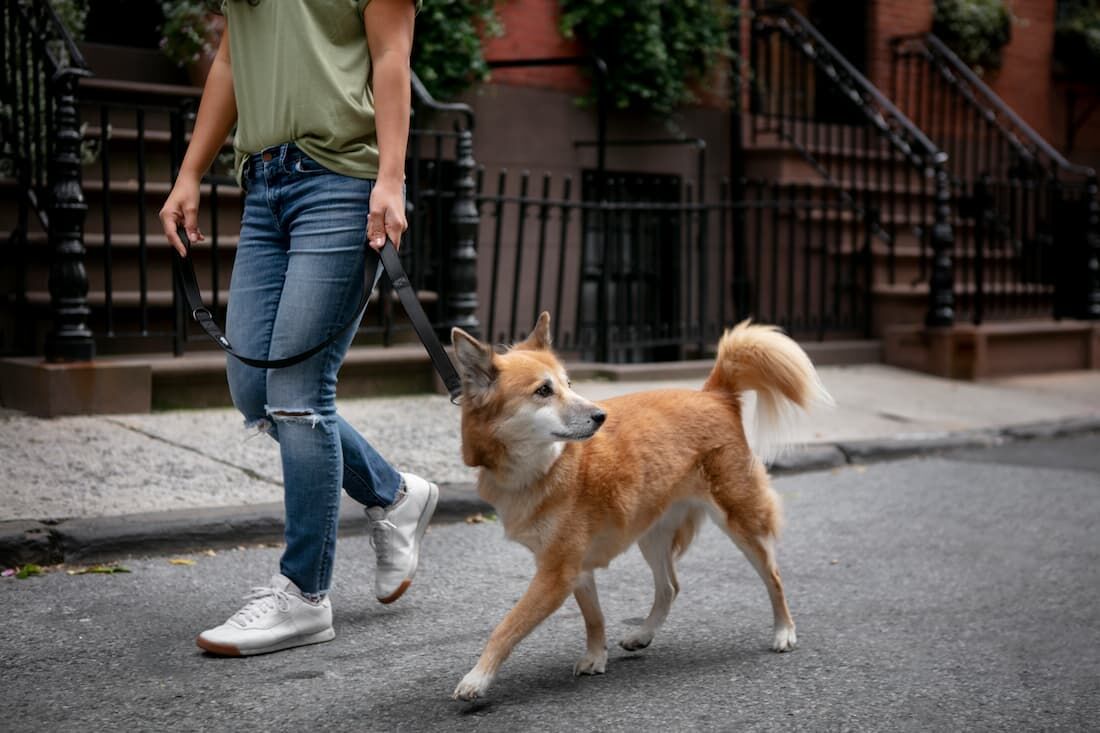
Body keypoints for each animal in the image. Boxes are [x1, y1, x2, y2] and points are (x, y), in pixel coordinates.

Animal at [446, 310, 831, 695]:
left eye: (568, 383)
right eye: (543, 391)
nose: (601, 416)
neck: (543, 466)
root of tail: (714, 394)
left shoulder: (556, 574)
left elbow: (507, 627)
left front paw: (478, 677)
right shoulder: (575, 569)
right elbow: (594, 618)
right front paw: (596, 656)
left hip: (740, 520)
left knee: (773, 577)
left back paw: (784, 631)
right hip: (652, 533)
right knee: (669, 587)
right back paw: (643, 635)